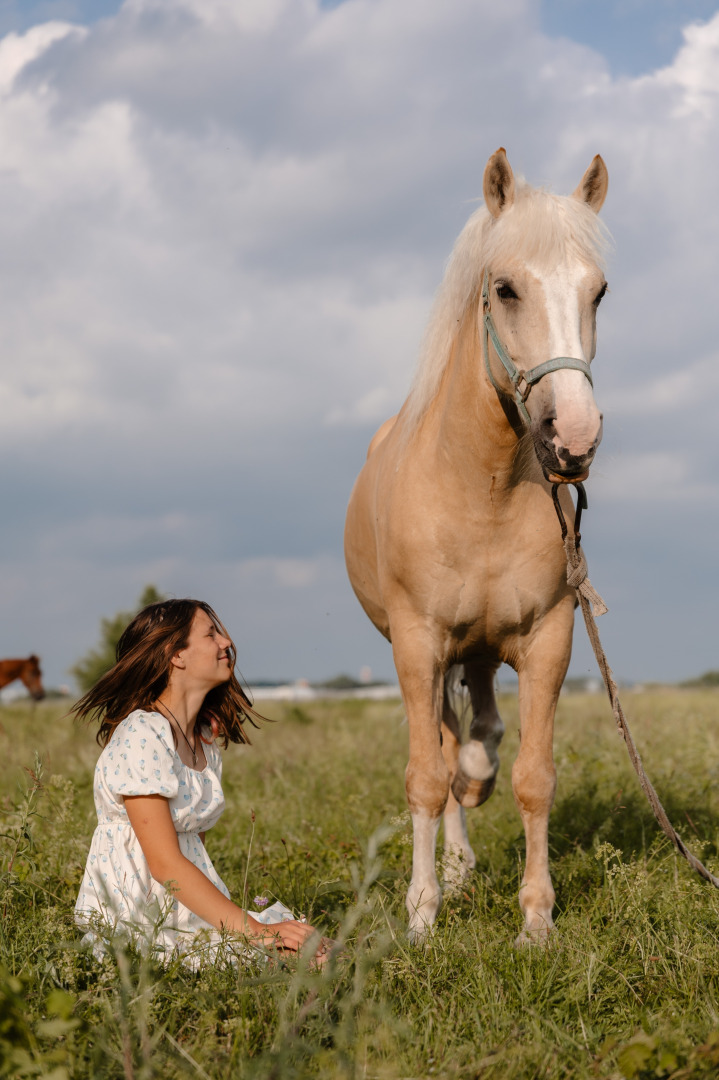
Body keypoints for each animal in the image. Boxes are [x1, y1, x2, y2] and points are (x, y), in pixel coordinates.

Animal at [345, 147, 608, 941]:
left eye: (599, 292)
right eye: (505, 288)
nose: (573, 436)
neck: (481, 487)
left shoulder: (550, 639)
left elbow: (532, 777)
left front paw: (536, 920)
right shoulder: (417, 644)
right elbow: (425, 778)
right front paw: (422, 914)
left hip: (487, 649)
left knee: (481, 727)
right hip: (434, 654)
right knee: (443, 742)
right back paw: (455, 865)